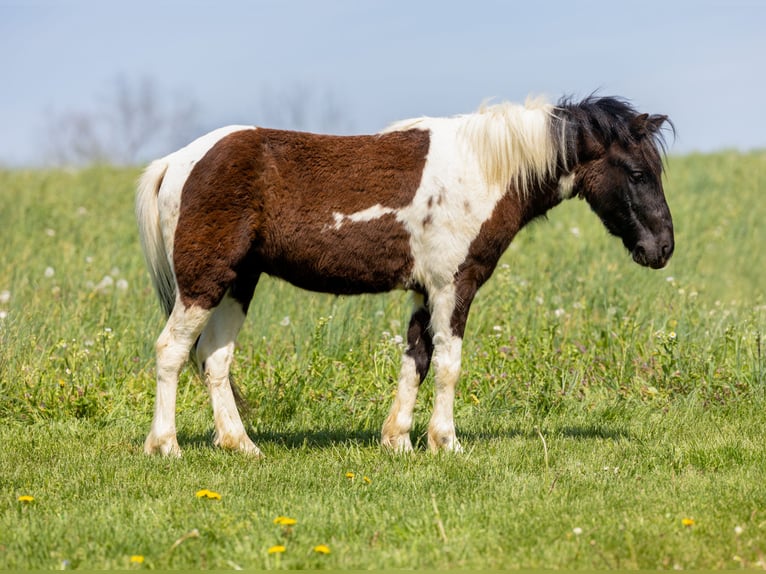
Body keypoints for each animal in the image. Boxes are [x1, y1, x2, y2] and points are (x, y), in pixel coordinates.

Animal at [136, 95, 673, 457]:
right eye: (638, 173)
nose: (663, 248)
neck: (481, 170)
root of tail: (176, 161)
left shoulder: (423, 292)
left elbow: (416, 358)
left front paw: (398, 440)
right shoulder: (454, 286)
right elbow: (448, 364)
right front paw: (446, 442)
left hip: (238, 283)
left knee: (214, 358)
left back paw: (240, 444)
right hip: (203, 283)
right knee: (172, 351)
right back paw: (166, 445)